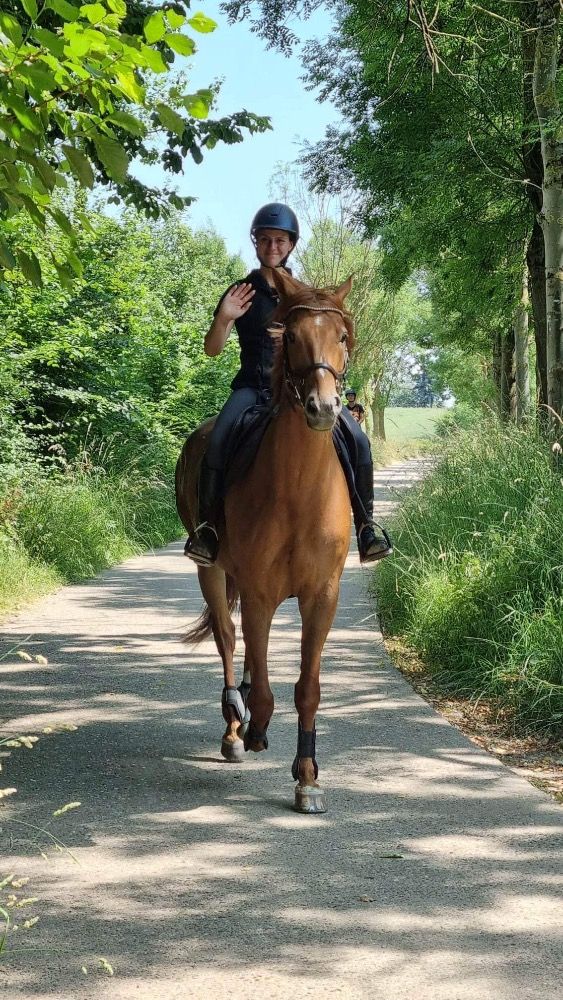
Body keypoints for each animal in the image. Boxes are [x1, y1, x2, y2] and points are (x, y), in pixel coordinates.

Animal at [175, 268, 354, 812]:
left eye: (342, 337)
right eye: (289, 337)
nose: (323, 407)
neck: (298, 491)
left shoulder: (322, 598)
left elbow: (307, 689)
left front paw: (308, 778)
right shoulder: (257, 594)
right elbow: (263, 687)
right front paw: (254, 731)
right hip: (211, 569)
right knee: (229, 640)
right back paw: (235, 730)